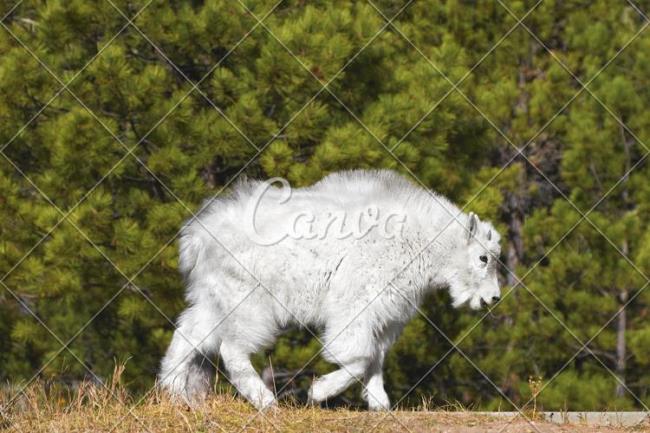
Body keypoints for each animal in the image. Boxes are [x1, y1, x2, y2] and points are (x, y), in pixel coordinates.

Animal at [158, 168, 502, 408]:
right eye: (483, 257)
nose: (494, 298)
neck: (424, 244)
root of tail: (198, 236)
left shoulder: (385, 316)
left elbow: (376, 358)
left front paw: (379, 403)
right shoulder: (357, 305)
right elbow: (359, 356)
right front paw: (319, 391)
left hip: (215, 298)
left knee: (188, 335)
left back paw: (175, 394)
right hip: (250, 302)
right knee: (231, 350)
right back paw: (266, 402)